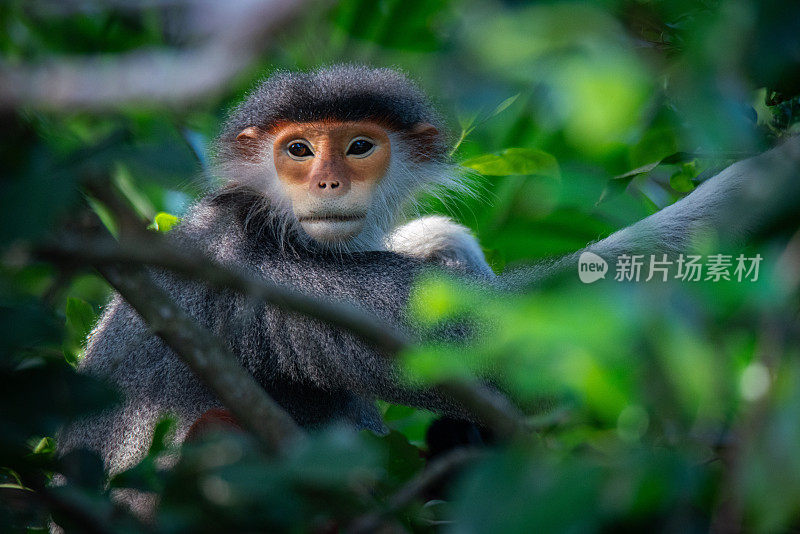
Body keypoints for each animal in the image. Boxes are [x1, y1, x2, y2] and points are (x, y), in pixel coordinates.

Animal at [56, 63, 800, 520]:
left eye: (359, 146)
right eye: (298, 150)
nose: (327, 183)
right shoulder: (255, 268)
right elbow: (511, 340)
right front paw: (772, 171)